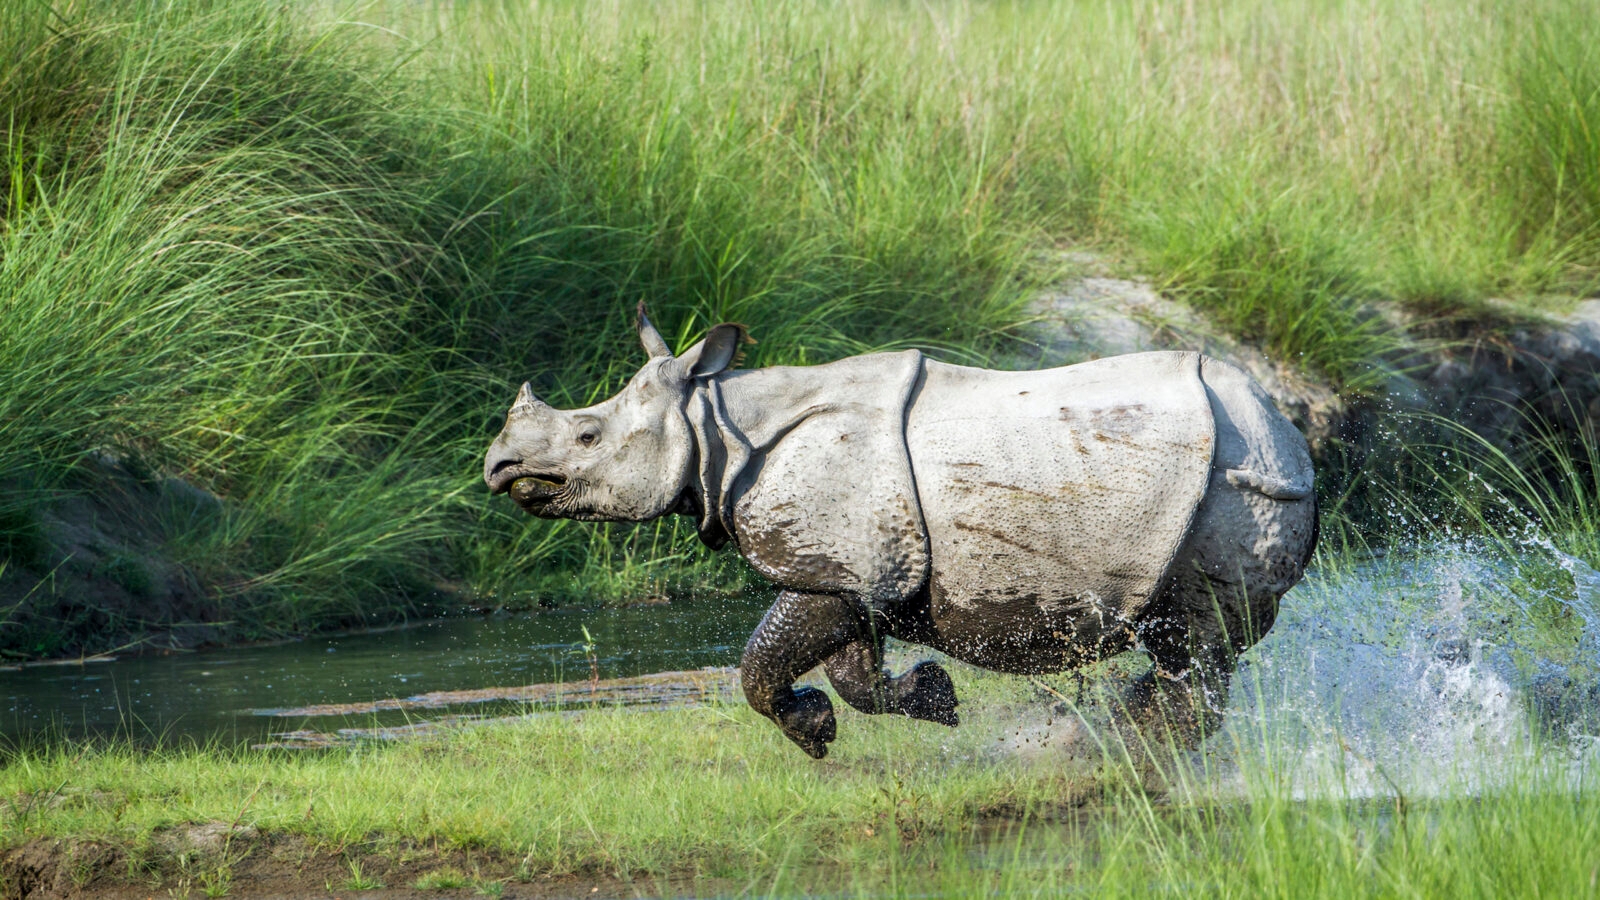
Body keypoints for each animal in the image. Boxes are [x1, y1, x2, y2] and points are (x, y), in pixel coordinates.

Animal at [483, 306, 1318, 758]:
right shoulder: (850, 566)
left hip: (1231, 486)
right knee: (1186, 652)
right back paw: (1105, 742)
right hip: (1215, 480)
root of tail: (1288, 429)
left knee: (1194, 640)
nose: (499, 466)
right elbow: (852, 673)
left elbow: (759, 662)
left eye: (587, 437)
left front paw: (817, 730)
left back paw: (1114, 754)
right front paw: (927, 701)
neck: (714, 422)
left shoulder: (838, 561)